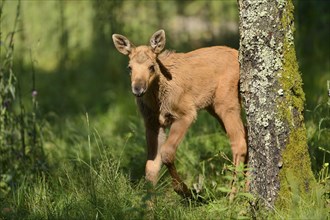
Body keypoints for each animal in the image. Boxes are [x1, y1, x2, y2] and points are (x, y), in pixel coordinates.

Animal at [112, 29, 246, 198]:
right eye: (129, 67)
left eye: (151, 66)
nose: (138, 89)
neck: (157, 101)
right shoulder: (152, 123)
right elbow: (151, 166)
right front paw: (149, 205)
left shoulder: (185, 112)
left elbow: (167, 153)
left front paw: (185, 191)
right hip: (213, 107)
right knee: (246, 134)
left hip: (226, 102)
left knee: (239, 143)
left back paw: (232, 197)